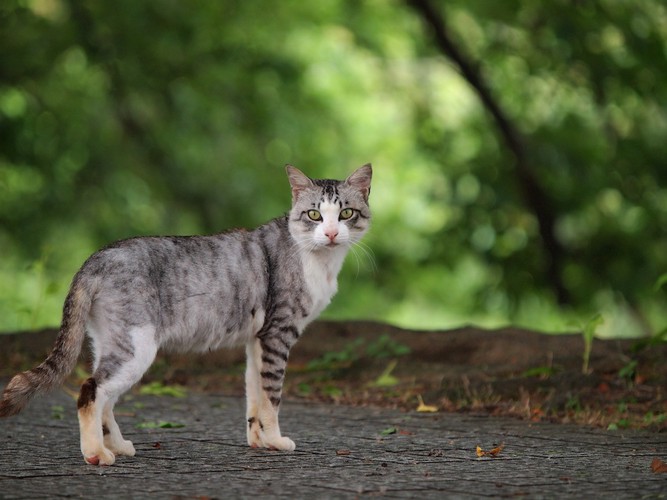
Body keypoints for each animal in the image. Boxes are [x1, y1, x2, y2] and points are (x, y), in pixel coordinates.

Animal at [0, 164, 370, 464]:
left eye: (347, 213)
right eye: (314, 216)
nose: (332, 233)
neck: (319, 260)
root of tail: (94, 259)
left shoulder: (257, 340)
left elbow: (254, 395)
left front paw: (260, 441)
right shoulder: (279, 333)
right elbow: (272, 395)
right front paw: (277, 441)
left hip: (113, 342)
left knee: (106, 398)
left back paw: (116, 446)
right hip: (137, 347)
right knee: (91, 390)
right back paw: (96, 454)